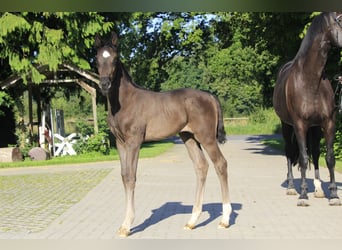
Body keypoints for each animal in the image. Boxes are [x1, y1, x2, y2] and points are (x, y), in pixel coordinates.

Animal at [95, 32, 231, 237]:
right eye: (96, 58)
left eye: (115, 58)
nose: (104, 84)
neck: (124, 102)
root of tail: (210, 96)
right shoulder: (120, 142)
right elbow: (124, 176)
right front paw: (124, 224)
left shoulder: (134, 141)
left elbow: (131, 177)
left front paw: (127, 226)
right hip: (188, 137)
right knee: (201, 166)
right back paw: (192, 221)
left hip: (206, 137)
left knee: (220, 164)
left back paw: (225, 219)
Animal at [274, 12, 342, 206]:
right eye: (340, 20)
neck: (311, 80)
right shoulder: (299, 125)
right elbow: (303, 158)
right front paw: (303, 195)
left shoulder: (328, 124)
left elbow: (329, 158)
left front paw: (334, 195)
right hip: (286, 125)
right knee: (290, 153)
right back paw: (291, 187)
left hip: (315, 128)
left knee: (316, 152)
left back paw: (318, 189)